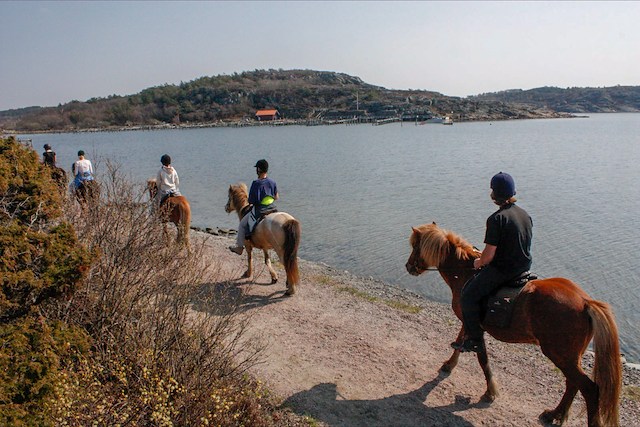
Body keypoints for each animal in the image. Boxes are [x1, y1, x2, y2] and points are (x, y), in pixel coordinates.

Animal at [404, 224, 620, 427]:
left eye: (416, 246)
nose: (408, 266)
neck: (466, 273)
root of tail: (585, 302)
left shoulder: (474, 325)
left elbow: (482, 358)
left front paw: (490, 392)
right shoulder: (468, 322)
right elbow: (460, 343)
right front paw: (449, 365)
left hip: (560, 354)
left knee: (589, 389)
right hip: (570, 357)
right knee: (573, 384)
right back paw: (554, 414)